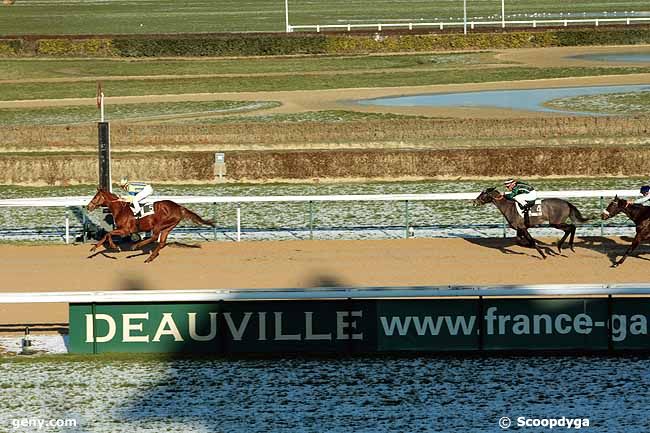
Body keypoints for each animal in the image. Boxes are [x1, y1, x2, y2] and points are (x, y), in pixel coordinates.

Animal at [85, 187, 213, 262]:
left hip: (160, 225)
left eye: (95, 197)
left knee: (155, 237)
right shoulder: (123, 230)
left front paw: (114, 247)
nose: (88, 206)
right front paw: (94, 248)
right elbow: (107, 234)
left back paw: (136, 246)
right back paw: (149, 258)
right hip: (168, 227)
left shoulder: (125, 230)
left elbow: (108, 234)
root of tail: (178, 207)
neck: (121, 209)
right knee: (161, 242)